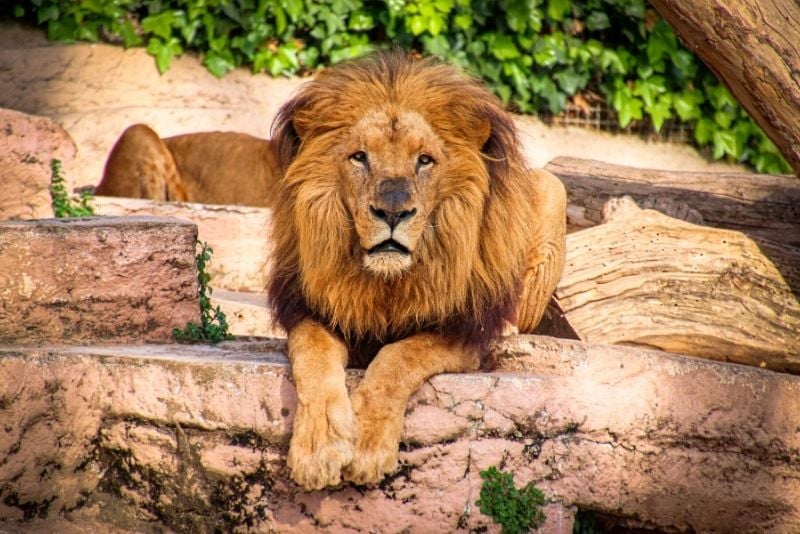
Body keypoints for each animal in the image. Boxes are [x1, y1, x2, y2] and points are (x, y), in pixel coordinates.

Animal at [268, 52, 568, 492]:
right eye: (360, 157)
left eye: (424, 160)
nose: (392, 212)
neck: (387, 282)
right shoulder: (311, 310)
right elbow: (313, 356)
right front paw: (319, 448)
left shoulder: (463, 331)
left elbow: (398, 358)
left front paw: (367, 445)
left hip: (550, 187)